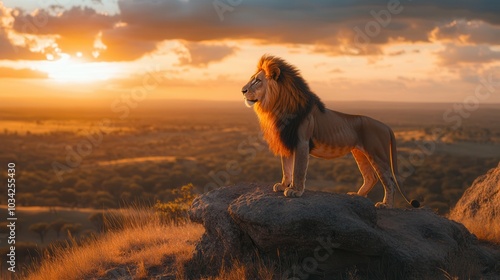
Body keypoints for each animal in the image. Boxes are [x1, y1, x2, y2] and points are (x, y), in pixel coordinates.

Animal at [241, 54, 418, 208]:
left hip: (377, 153)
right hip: (359, 152)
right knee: (371, 177)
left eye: (257, 81)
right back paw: (357, 196)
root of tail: (386, 126)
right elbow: (287, 168)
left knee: (389, 180)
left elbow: (298, 170)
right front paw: (284, 185)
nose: (242, 90)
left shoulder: (302, 142)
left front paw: (295, 191)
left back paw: (385, 205)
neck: (277, 107)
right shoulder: (287, 141)